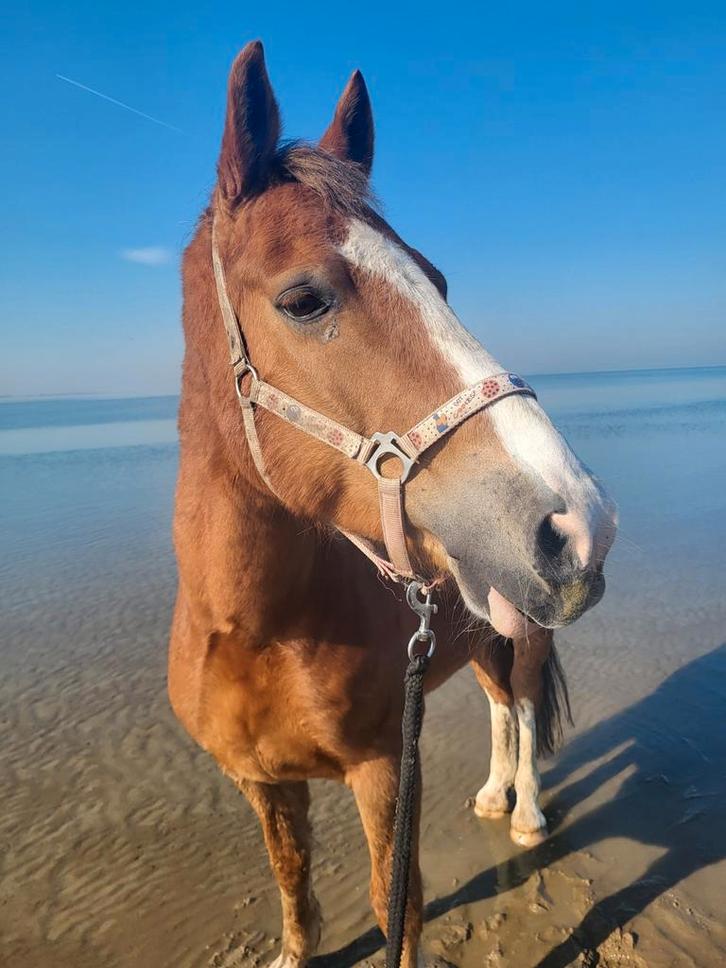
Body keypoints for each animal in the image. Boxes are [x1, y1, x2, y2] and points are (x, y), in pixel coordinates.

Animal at [168, 41, 617, 968]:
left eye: (439, 281)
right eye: (304, 299)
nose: (577, 526)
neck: (257, 628)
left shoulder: (381, 769)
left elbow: (395, 906)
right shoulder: (257, 780)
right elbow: (292, 876)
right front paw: (295, 948)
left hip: (524, 637)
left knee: (523, 704)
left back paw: (524, 811)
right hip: (483, 633)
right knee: (497, 705)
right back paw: (492, 794)